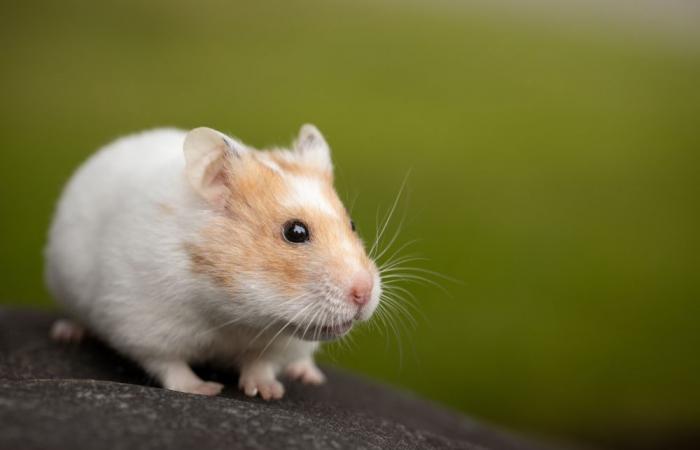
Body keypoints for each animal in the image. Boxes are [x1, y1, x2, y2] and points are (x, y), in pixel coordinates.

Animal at [44, 125, 382, 399]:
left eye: (352, 225)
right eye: (295, 232)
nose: (364, 293)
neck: (235, 315)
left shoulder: (279, 343)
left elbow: (261, 364)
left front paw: (268, 392)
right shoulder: (142, 322)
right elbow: (169, 365)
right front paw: (205, 389)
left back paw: (307, 374)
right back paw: (68, 333)